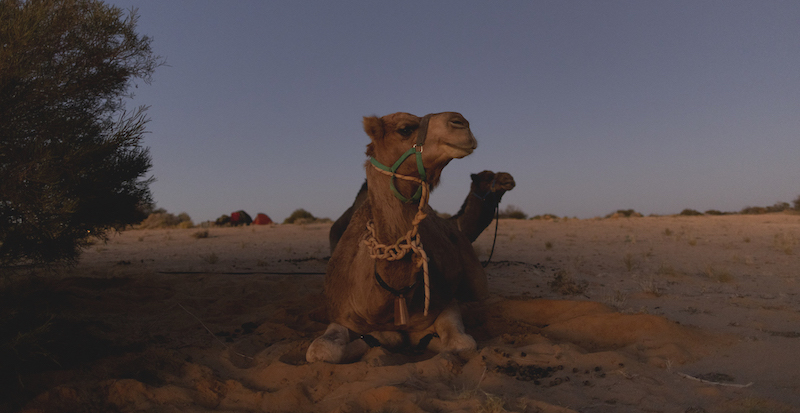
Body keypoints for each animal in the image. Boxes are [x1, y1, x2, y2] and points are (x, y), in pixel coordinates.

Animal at [306, 111, 488, 362]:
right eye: (405, 129)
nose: (460, 122)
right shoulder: (341, 313)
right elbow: (322, 350)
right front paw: (384, 337)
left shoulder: (445, 302)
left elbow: (463, 343)